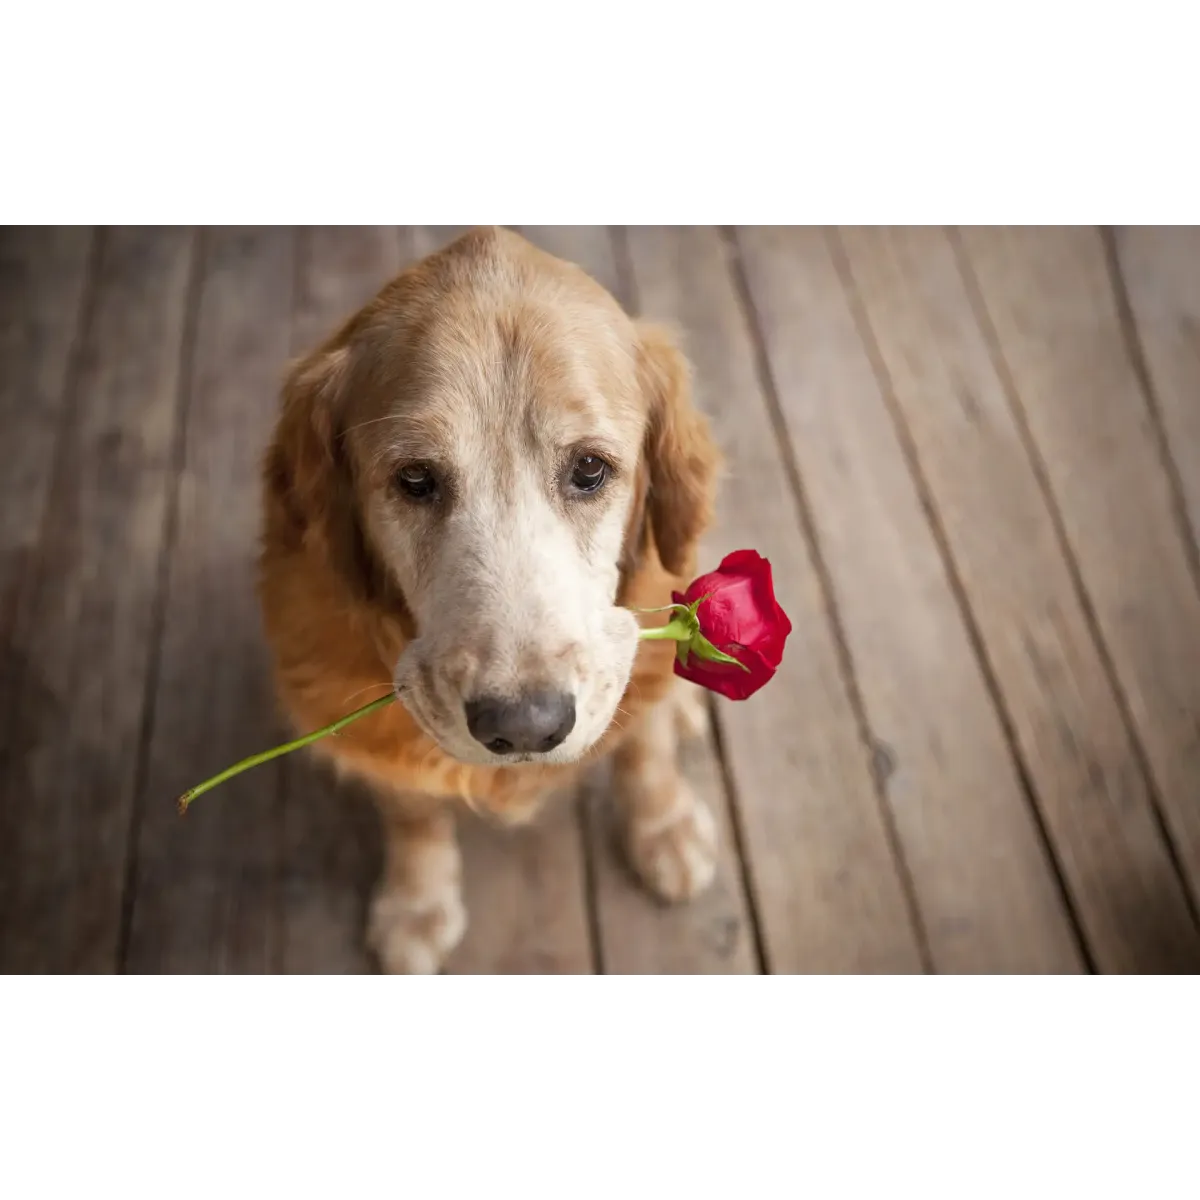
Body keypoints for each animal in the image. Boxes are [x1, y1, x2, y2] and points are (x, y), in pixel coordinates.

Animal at [256, 226, 715, 974]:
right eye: (415, 478)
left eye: (590, 469)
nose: (526, 727)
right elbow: (412, 811)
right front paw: (416, 903)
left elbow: (644, 750)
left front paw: (664, 827)